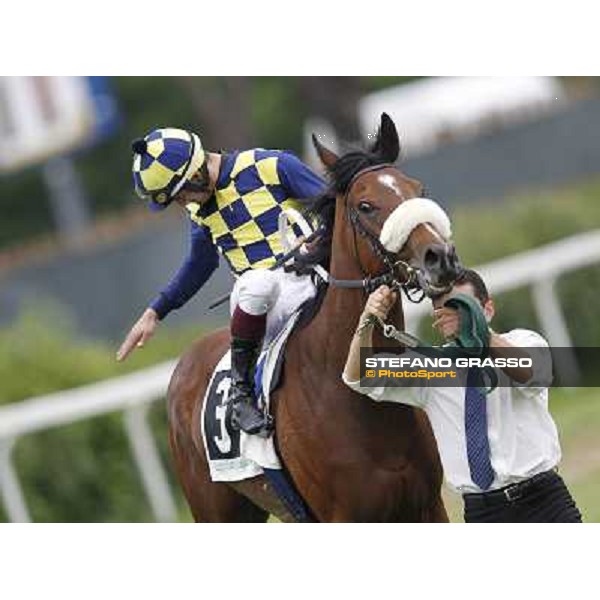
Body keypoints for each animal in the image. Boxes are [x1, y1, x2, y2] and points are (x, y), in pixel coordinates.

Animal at [168, 115, 460, 524]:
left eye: (418, 189)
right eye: (366, 205)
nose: (441, 258)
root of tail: (184, 362)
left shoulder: (428, 505)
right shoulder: (343, 517)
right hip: (217, 512)